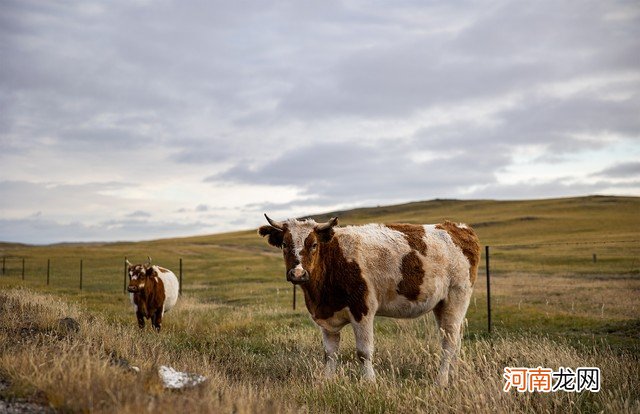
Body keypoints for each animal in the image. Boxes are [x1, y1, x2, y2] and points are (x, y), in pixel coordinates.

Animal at [258, 215, 478, 386]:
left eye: (313, 245)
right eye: (285, 244)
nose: (298, 273)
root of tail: (456, 227)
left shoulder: (362, 308)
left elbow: (364, 351)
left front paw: (370, 382)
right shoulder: (326, 316)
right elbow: (330, 353)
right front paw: (326, 381)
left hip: (456, 298)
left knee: (449, 343)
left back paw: (440, 382)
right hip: (442, 305)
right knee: (456, 339)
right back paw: (454, 378)